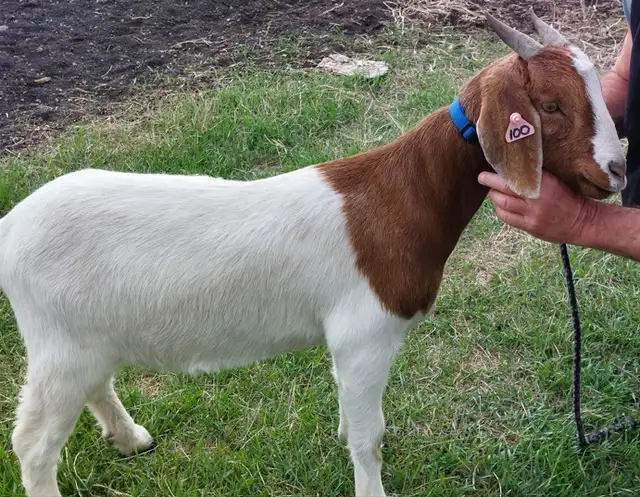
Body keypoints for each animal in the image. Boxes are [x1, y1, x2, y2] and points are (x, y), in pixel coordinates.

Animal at [3, 10, 626, 497]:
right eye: (550, 105)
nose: (617, 170)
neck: (400, 195)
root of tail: (10, 230)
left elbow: (360, 423)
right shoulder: (364, 336)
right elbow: (371, 439)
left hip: (87, 336)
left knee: (94, 386)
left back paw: (131, 439)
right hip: (60, 342)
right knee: (32, 443)